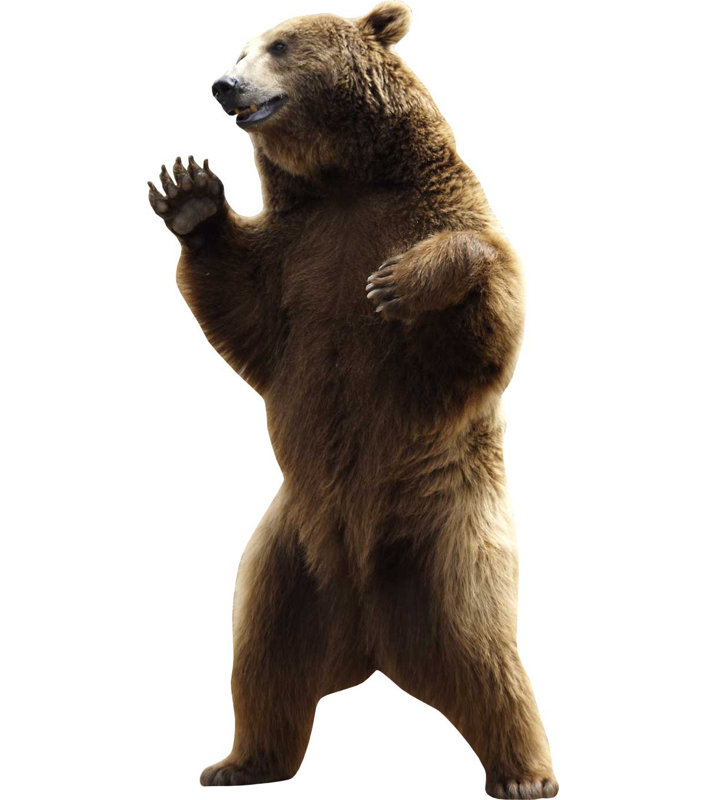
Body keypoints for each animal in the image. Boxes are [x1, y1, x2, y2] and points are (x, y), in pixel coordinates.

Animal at [148, 3, 558, 798]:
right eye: (239, 48)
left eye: (278, 45)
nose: (224, 85)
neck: (344, 183)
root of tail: (372, 641)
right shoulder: (294, 263)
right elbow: (240, 305)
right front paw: (190, 196)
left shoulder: (437, 216)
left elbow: (487, 320)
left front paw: (401, 282)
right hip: (284, 556)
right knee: (262, 657)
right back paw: (238, 761)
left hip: (448, 533)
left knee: (488, 653)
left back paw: (525, 774)